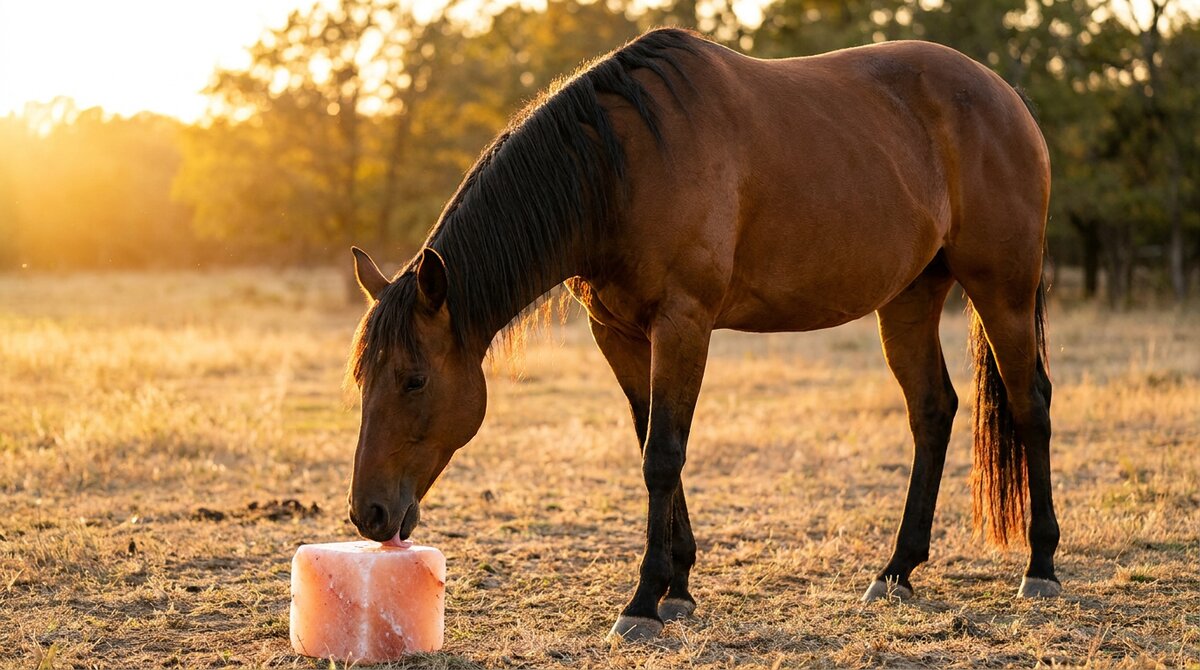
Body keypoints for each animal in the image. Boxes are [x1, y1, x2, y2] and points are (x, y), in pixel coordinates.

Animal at [345, 28, 1059, 642]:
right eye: (362, 379)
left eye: (414, 380)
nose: (367, 514)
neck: (621, 169)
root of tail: (1004, 95)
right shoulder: (619, 334)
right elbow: (652, 441)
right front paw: (678, 588)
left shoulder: (683, 322)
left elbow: (663, 453)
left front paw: (642, 603)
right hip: (910, 298)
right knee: (932, 411)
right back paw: (896, 571)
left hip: (1003, 289)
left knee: (1031, 404)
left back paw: (1040, 567)